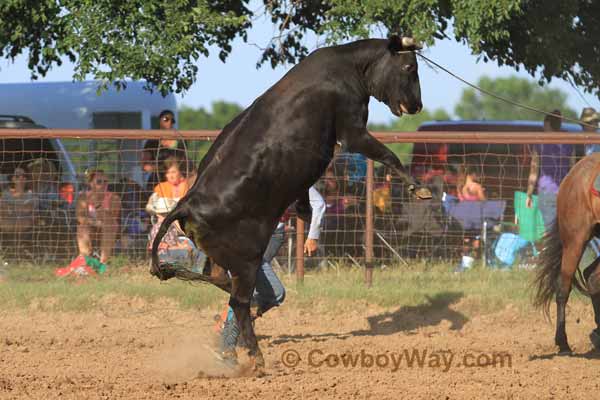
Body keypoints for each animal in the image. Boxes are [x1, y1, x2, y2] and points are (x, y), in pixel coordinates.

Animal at [150, 36, 432, 374]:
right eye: (409, 67)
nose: (417, 105)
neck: (349, 66)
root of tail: (187, 203)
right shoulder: (352, 129)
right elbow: (388, 155)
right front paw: (420, 188)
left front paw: (304, 210)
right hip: (246, 261)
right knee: (238, 302)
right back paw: (256, 357)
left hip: (221, 256)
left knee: (221, 281)